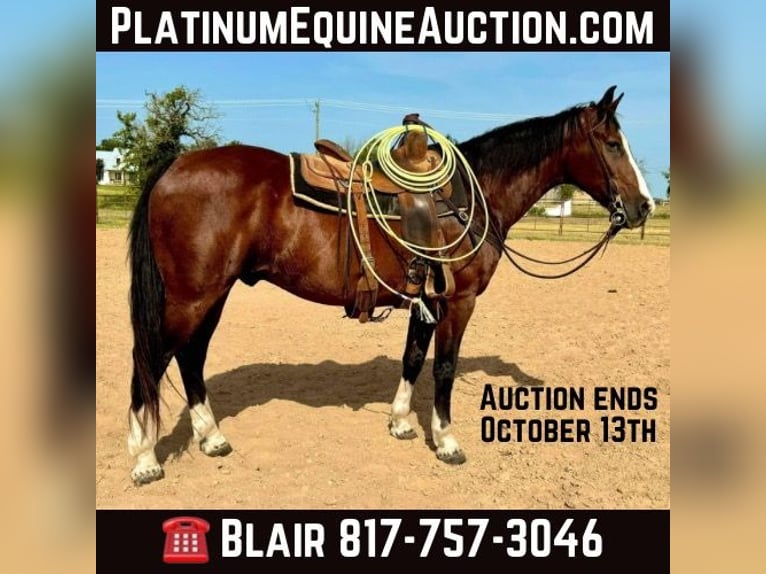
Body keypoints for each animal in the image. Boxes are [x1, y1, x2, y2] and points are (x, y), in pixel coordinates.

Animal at [126, 85, 654, 485]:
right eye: (612, 144)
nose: (644, 206)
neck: (472, 196)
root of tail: (174, 167)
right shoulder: (458, 302)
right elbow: (443, 367)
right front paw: (447, 442)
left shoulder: (428, 299)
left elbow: (413, 358)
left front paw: (401, 423)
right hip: (192, 297)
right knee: (152, 360)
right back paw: (145, 457)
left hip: (212, 294)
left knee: (191, 358)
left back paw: (211, 437)